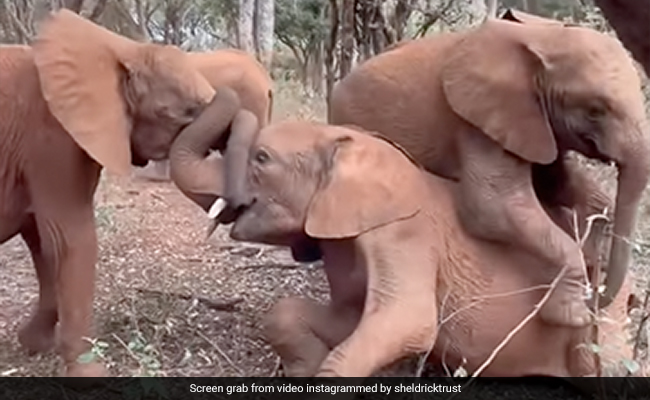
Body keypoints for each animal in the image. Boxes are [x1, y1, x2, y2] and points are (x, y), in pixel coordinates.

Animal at [0, 10, 217, 376]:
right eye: (185, 113)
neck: (121, 48)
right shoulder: (51, 138)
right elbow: (70, 239)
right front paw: (91, 374)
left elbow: (43, 242)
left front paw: (34, 344)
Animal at [165, 102, 633, 377]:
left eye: (262, 159)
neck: (349, 142)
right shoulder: (347, 238)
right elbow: (334, 318)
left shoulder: (404, 235)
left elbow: (408, 322)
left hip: (602, 322)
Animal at [329, 17, 650, 329]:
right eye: (595, 110)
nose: (596, 297)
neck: (543, 38)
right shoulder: (477, 120)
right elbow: (492, 207)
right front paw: (572, 316)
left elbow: (556, 182)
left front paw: (595, 250)